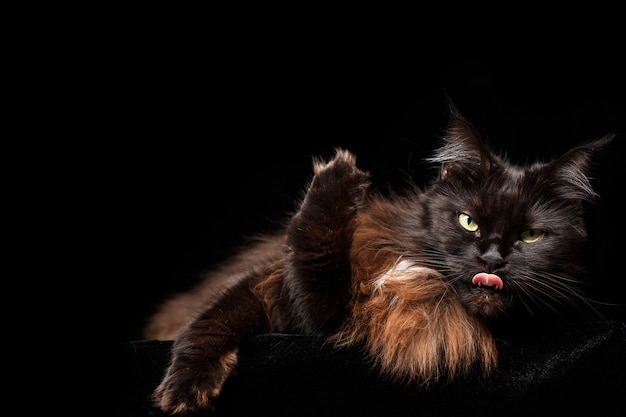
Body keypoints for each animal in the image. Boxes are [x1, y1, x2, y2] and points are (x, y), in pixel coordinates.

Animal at [141, 105, 608, 414]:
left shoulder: (324, 320)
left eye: (530, 236)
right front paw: (184, 389)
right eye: (468, 221)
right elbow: (214, 319)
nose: (492, 258)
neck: (429, 287)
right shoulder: (276, 286)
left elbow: (316, 268)